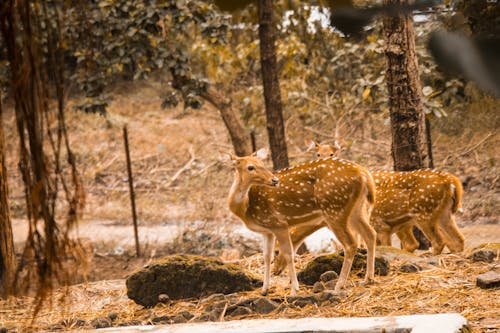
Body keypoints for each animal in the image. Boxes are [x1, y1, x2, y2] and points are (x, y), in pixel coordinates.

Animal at [227, 149, 376, 294]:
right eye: (250, 167)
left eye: (262, 164)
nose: (274, 180)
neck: (246, 208)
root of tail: (364, 174)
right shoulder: (267, 230)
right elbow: (266, 257)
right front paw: (265, 289)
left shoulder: (279, 223)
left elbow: (289, 254)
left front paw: (294, 289)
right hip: (355, 210)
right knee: (370, 234)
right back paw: (368, 279)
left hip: (334, 209)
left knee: (350, 244)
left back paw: (339, 285)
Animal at [274, 141, 464, 274]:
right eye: (318, 153)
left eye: (276, 251)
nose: (276, 270)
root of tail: (452, 181)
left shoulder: (380, 225)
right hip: (443, 214)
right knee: (457, 240)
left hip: (424, 213)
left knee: (438, 241)